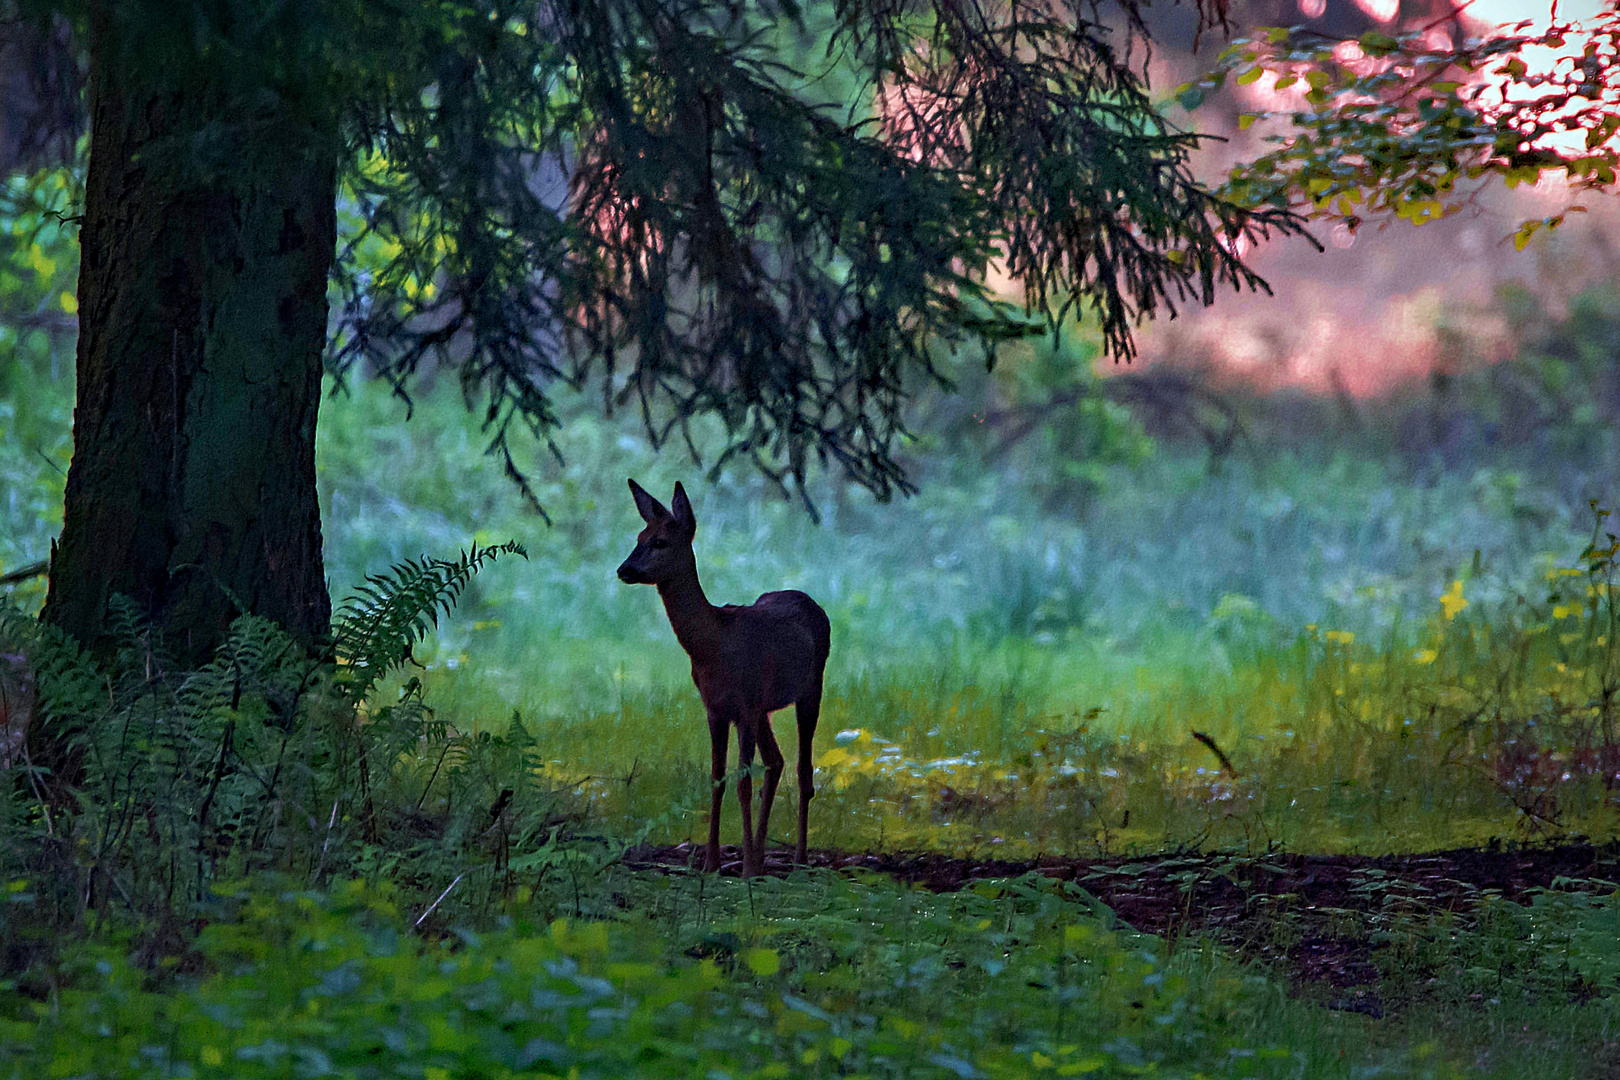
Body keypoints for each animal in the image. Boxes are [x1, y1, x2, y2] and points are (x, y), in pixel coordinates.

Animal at [612, 482, 829, 880]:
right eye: (639, 537)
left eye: (660, 541)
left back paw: (797, 859)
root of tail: (809, 600)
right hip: (764, 710)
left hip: (810, 689)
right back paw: (760, 855)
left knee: (804, 772)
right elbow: (717, 779)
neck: (714, 644)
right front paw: (712, 862)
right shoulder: (716, 708)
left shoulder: (745, 704)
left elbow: (743, 782)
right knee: (776, 762)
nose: (625, 569)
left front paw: (742, 867)